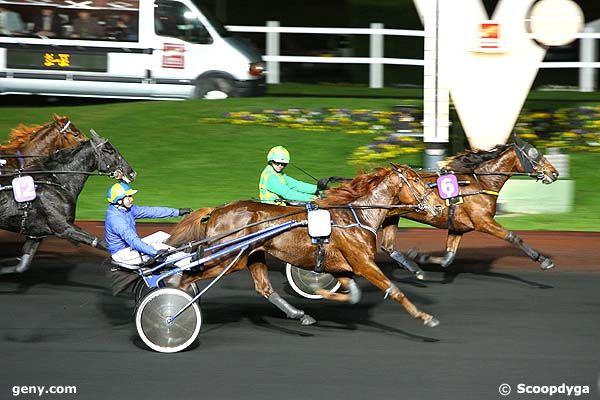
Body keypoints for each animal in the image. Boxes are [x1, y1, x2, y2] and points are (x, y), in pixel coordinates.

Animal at [0, 132, 136, 276]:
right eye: (109, 150)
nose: (131, 172)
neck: (56, 181)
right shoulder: (64, 228)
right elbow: (101, 242)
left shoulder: (36, 234)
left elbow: (22, 265)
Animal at [168, 165, 440, 328]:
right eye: (416, 180)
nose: (438, 205)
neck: (356, 216)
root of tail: (217, 209)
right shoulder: (363, 263)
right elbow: (394, 289)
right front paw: (425, 317)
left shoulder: (340, 267)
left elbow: (353, 294)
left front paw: (322, 293)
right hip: (225, 258)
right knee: (186, 276)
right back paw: (175, 306)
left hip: (252, 256)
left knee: (264, 288)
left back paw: (300, 314)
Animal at [382, 137, 560, 276]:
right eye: (534, 154)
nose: (554, 173)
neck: (481, 182)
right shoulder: (483, 222)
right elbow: (513, 237)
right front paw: (543, 260)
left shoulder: (458, 228)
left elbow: (447, 259)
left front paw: (419, 256)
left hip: (391, 217)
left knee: (388, 247)